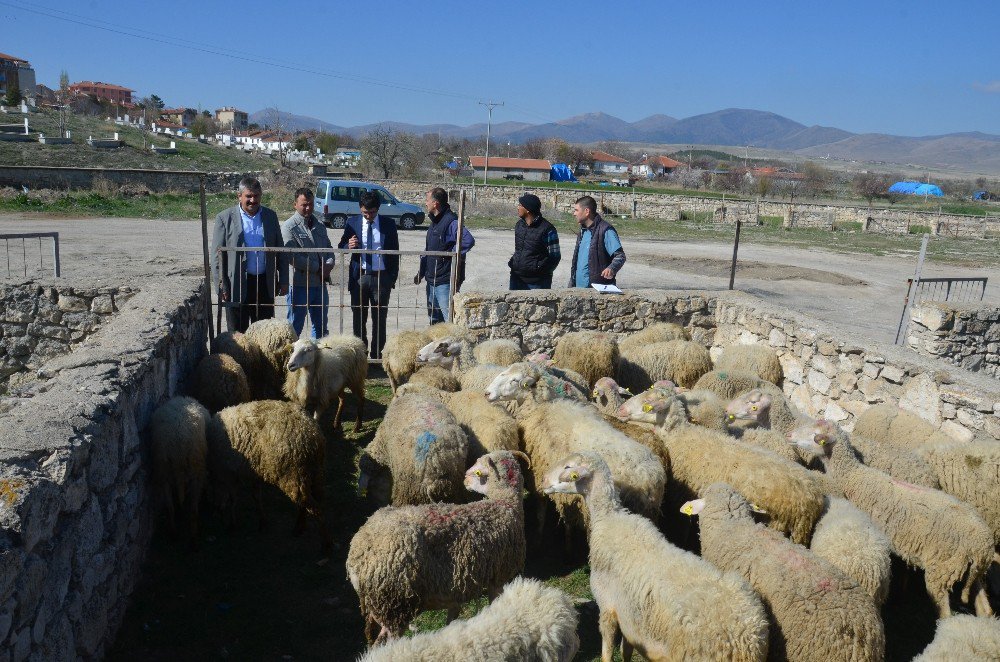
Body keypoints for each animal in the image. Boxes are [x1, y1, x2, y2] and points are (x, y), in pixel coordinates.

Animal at [346, 454, 528, 644]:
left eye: (478, 471)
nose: (464, 479)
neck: (505, 503)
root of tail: (357, 555)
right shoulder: (498, 579)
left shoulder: (457, 591)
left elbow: (452, 617)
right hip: (394, 605)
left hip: (378, 607)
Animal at [544, 454, 768, 660]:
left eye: (568, 467)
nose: (544, 482)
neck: (609, 518)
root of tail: (746, 642)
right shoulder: (630, 620)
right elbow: (626, 650)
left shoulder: (607, 607)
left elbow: (607, 651)